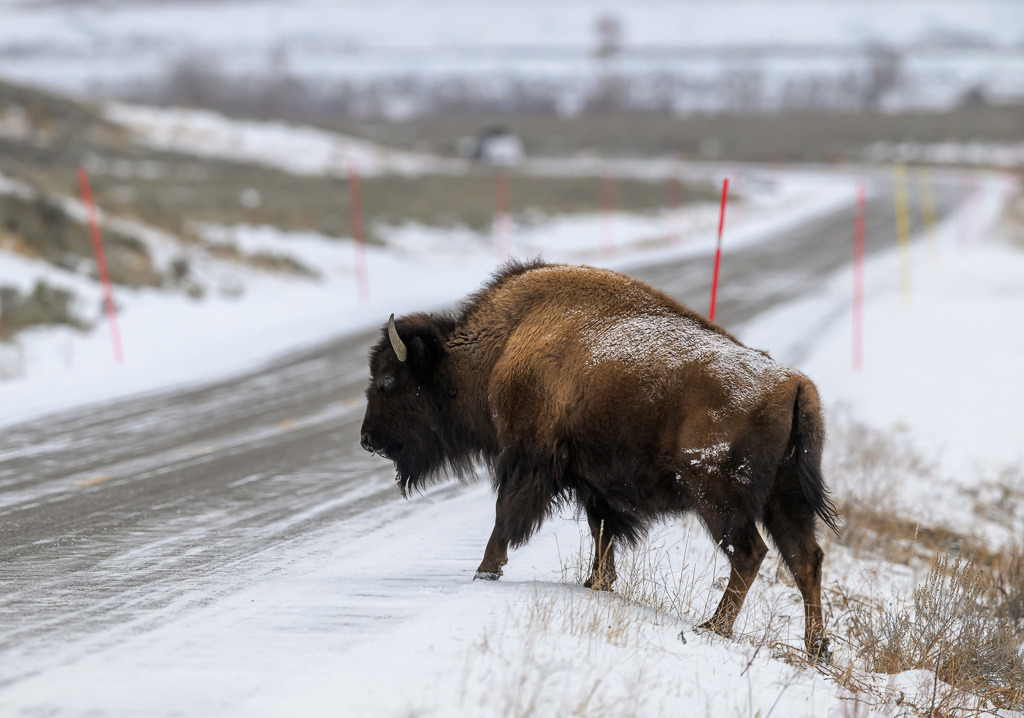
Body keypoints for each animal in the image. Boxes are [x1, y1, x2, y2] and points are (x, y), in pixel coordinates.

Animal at [360, 259, 839, 660]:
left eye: (388, 381)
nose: (366, 439)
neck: (505, 345)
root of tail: (794, 384)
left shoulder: (528, 459)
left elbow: (506, 514)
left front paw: (485, 572)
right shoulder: (592, 483)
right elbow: (601, 531)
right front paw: (597, 583)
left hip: (719, 499)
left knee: (750, 554)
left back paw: (714, 627)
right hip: (784, 501)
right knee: (805, 559)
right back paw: (816, 648)